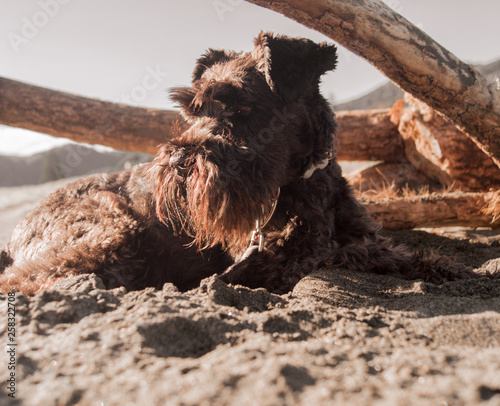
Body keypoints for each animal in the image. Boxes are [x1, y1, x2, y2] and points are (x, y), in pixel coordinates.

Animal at [0, 30, 478, 292]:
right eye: (191, 112)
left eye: (243, 107)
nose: (179, 160)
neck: (298, 186)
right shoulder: (271, 258)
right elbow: (335, 253)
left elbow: (390, 250)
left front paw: (443, 267)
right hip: (112, 230)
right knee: (24, 279)